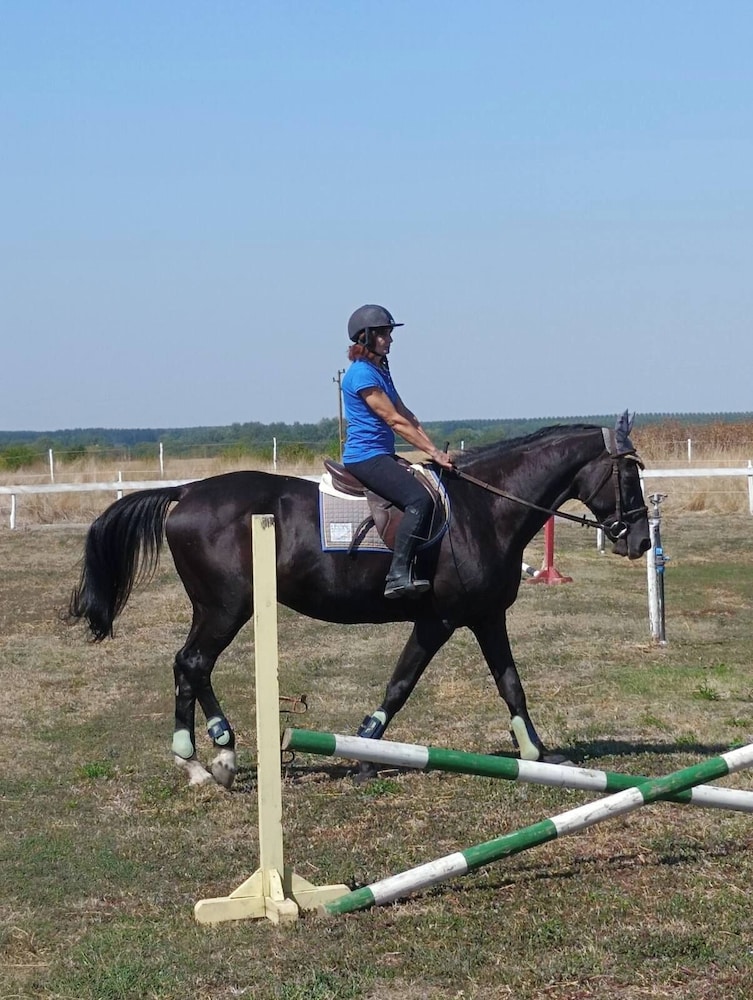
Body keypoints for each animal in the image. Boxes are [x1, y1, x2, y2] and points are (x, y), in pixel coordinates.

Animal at [67, 413, 650, 788]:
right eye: (628, 473)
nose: (641, 542)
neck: (482, 510)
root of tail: (186, 491)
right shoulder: (439, 619)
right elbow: (401, 683)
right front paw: (367, 750)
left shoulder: (485, 616)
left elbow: (510, 684)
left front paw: (536, 753)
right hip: (226, 608)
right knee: (193, 662)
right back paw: (209, 755)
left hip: (217, 609)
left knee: (190, 665)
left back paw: (207, 755)